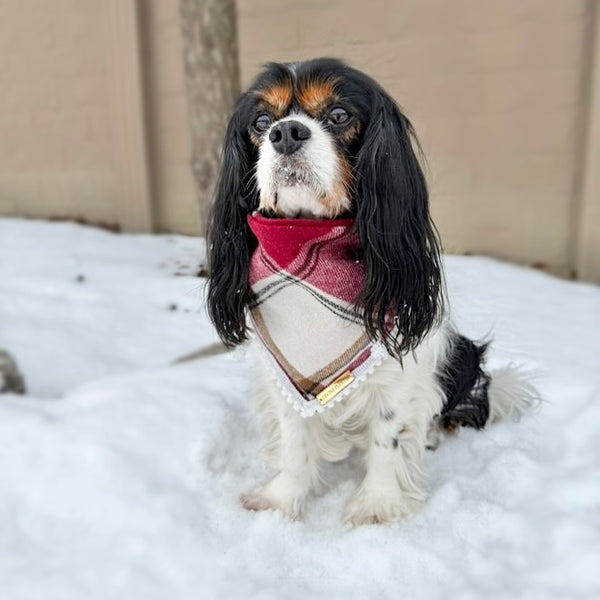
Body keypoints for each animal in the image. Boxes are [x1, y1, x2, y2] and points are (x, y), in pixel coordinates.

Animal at [204, 57, 536, 524]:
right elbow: (294, 438)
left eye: (339, 114)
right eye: (262, 121)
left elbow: (388, 436)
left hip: (461, 354)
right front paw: (281, 501)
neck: (307, 240)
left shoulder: (401, 367)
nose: (285, 133)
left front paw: (377, 506)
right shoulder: (285, 375)